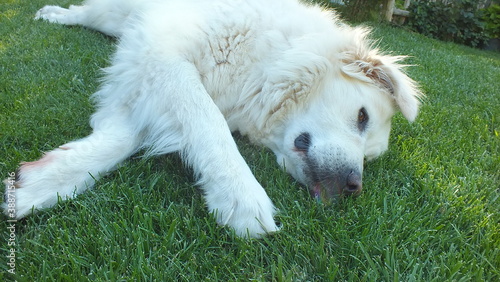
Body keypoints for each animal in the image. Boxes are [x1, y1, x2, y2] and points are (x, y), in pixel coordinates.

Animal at [3, 0, 420, 238]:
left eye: (369, 158)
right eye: (362, 117)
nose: (353, 187)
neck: (271, 59)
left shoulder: (145, 79)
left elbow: (122, 139)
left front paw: (35, 185)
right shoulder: (164, 55)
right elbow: (206, 120)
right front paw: (241, 196)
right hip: (112, 15)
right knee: (84, 13)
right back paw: (53, 15)